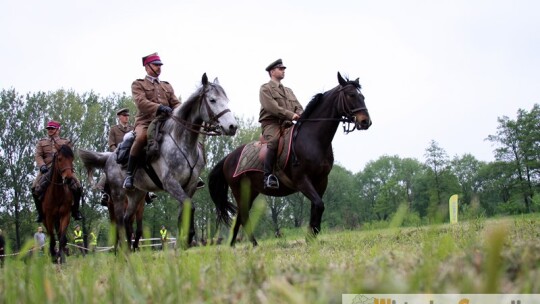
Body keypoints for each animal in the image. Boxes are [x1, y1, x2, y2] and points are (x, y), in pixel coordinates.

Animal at [79, 73, 237, 249]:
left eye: (226, 99)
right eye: (212, 100)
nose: (233, 126)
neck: (182, 142)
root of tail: (110, 157)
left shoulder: (189, 186)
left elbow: (184, 212)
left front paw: (183, 242)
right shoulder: (171, 183)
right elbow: (190, 206)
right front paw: (188, 237)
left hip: (137, 195)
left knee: (128, 220)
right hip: (118, 196)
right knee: (119, 223)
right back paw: (124, 250)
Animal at [210, 72, 372, 246]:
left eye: (362, 96)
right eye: (351, 95)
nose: (365, 122)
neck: (312, 139)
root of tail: (229, 157)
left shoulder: (322, 181)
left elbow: (316, 207)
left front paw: (312, 236)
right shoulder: (302, 180)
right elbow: (319, 205)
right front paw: (310, 236)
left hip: (251, 191)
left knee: (240, 217)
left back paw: (235, 246)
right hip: (240, 191)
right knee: (244, 216)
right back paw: (252, 245)